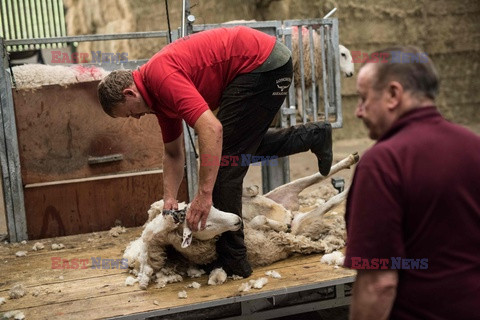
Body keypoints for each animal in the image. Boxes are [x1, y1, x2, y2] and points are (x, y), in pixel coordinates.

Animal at [122, 152, 358, 290]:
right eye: (205, 225)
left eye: (213, 209)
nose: (236, 219)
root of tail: (290, 207)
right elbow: (262, 222)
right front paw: (278, 226)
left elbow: (247, 195)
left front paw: (252, 191)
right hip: (303, 216)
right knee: (330, 200)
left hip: (284, 190)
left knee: (319, 175)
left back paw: (352, 160)